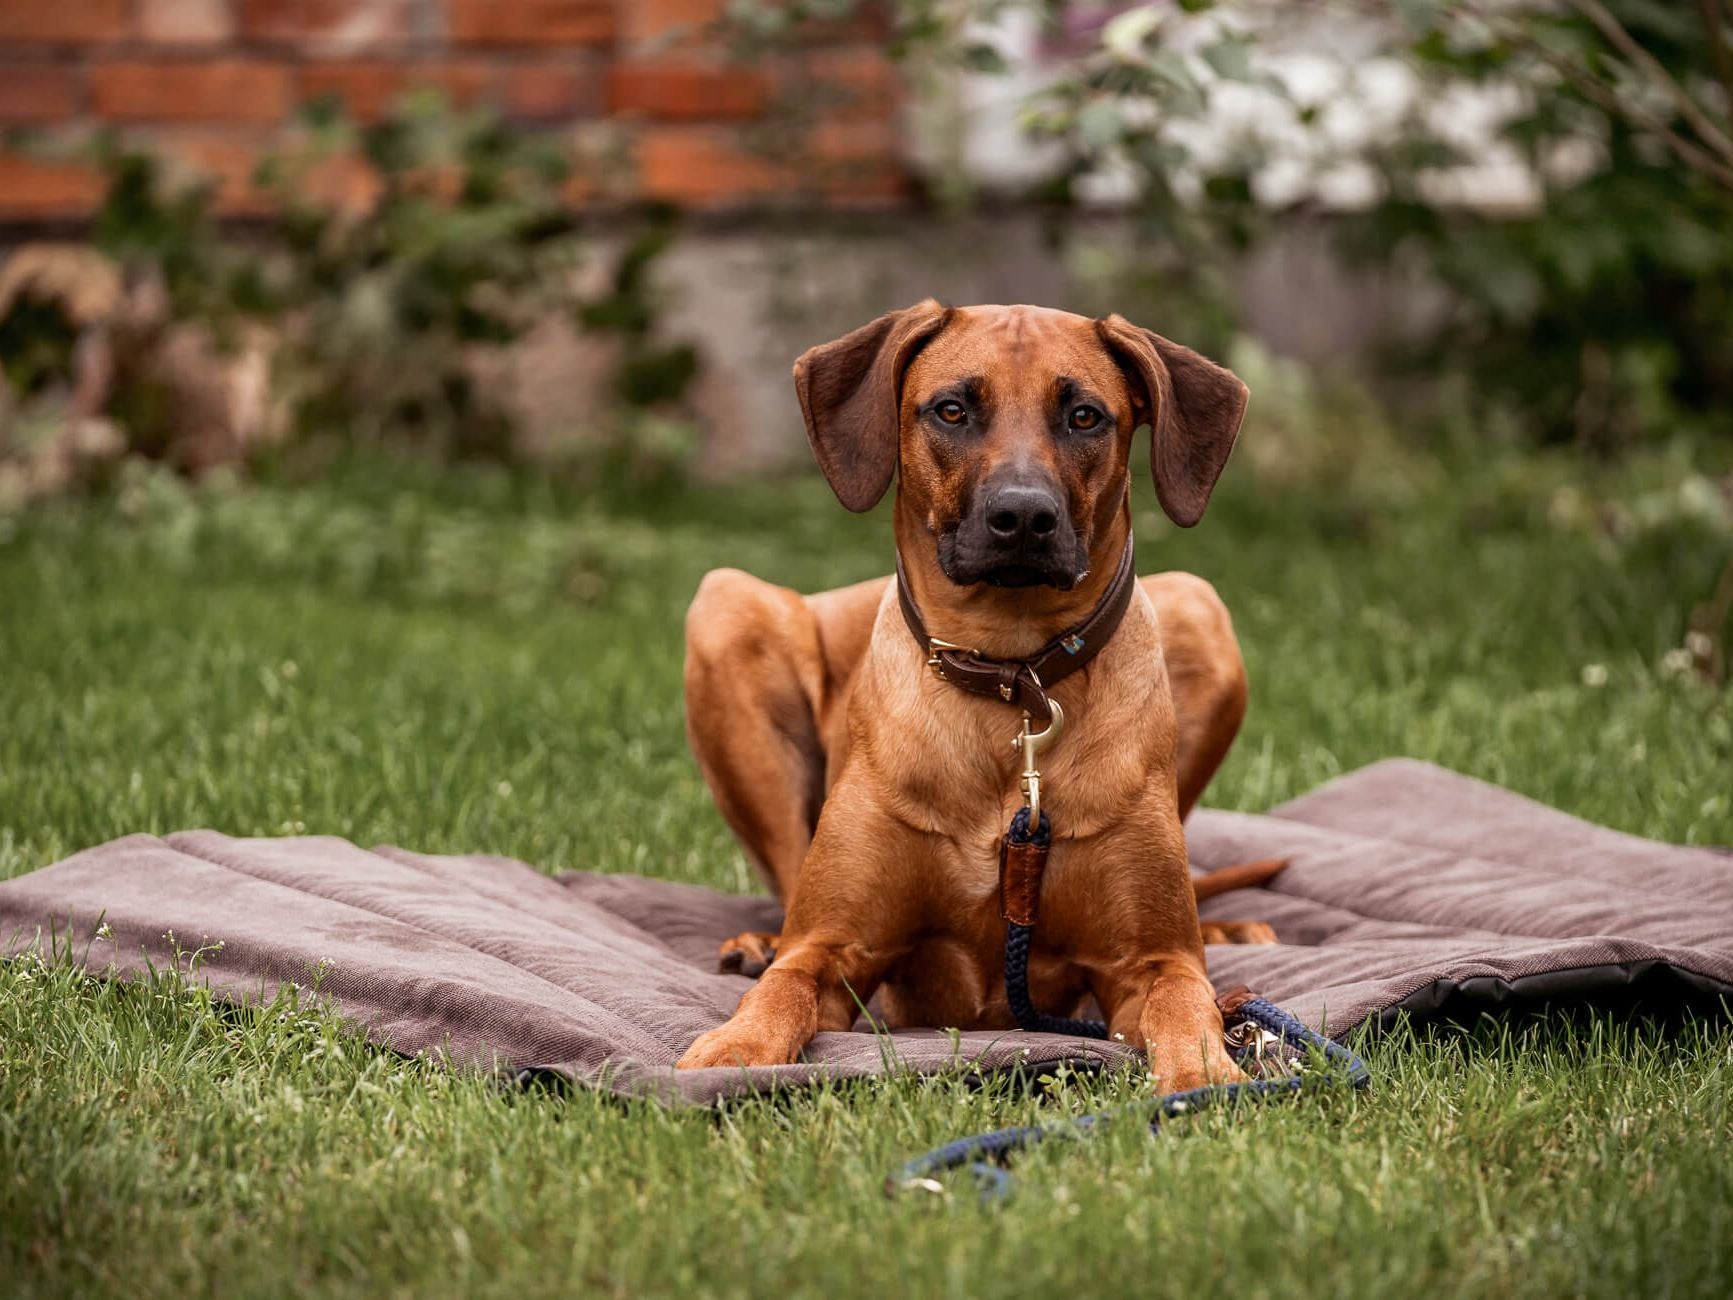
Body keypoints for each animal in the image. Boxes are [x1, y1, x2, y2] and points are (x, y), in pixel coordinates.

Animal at [679, 303, 1275, 1088]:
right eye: (952, 410)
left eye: (1085, 416)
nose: (1022, 517)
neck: (1011, 674)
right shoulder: (834, 947)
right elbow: (787, 985)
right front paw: (735, 1048)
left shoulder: (1150, 962)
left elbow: (1185, 998)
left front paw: (1204, 1072)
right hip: (726, 606)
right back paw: (758, 942)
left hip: (1199, 606)